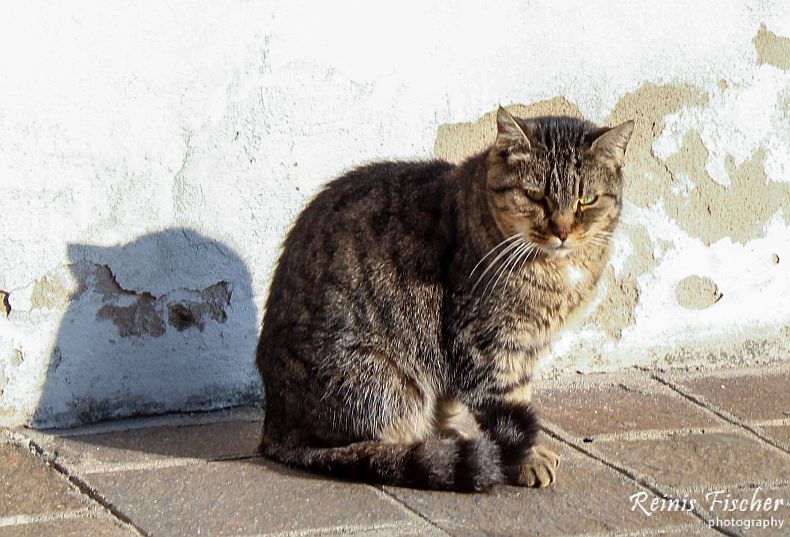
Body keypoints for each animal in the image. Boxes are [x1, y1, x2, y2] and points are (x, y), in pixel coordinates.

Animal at [256, 107, 636, 492]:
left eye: (587, 200)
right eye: (535, 197)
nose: (562, 231)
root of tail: (275, 429)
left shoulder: (525, 347)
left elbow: (521, 401)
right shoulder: (486, 342)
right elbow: (507, 403)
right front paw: (526, 459)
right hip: (386, 381)